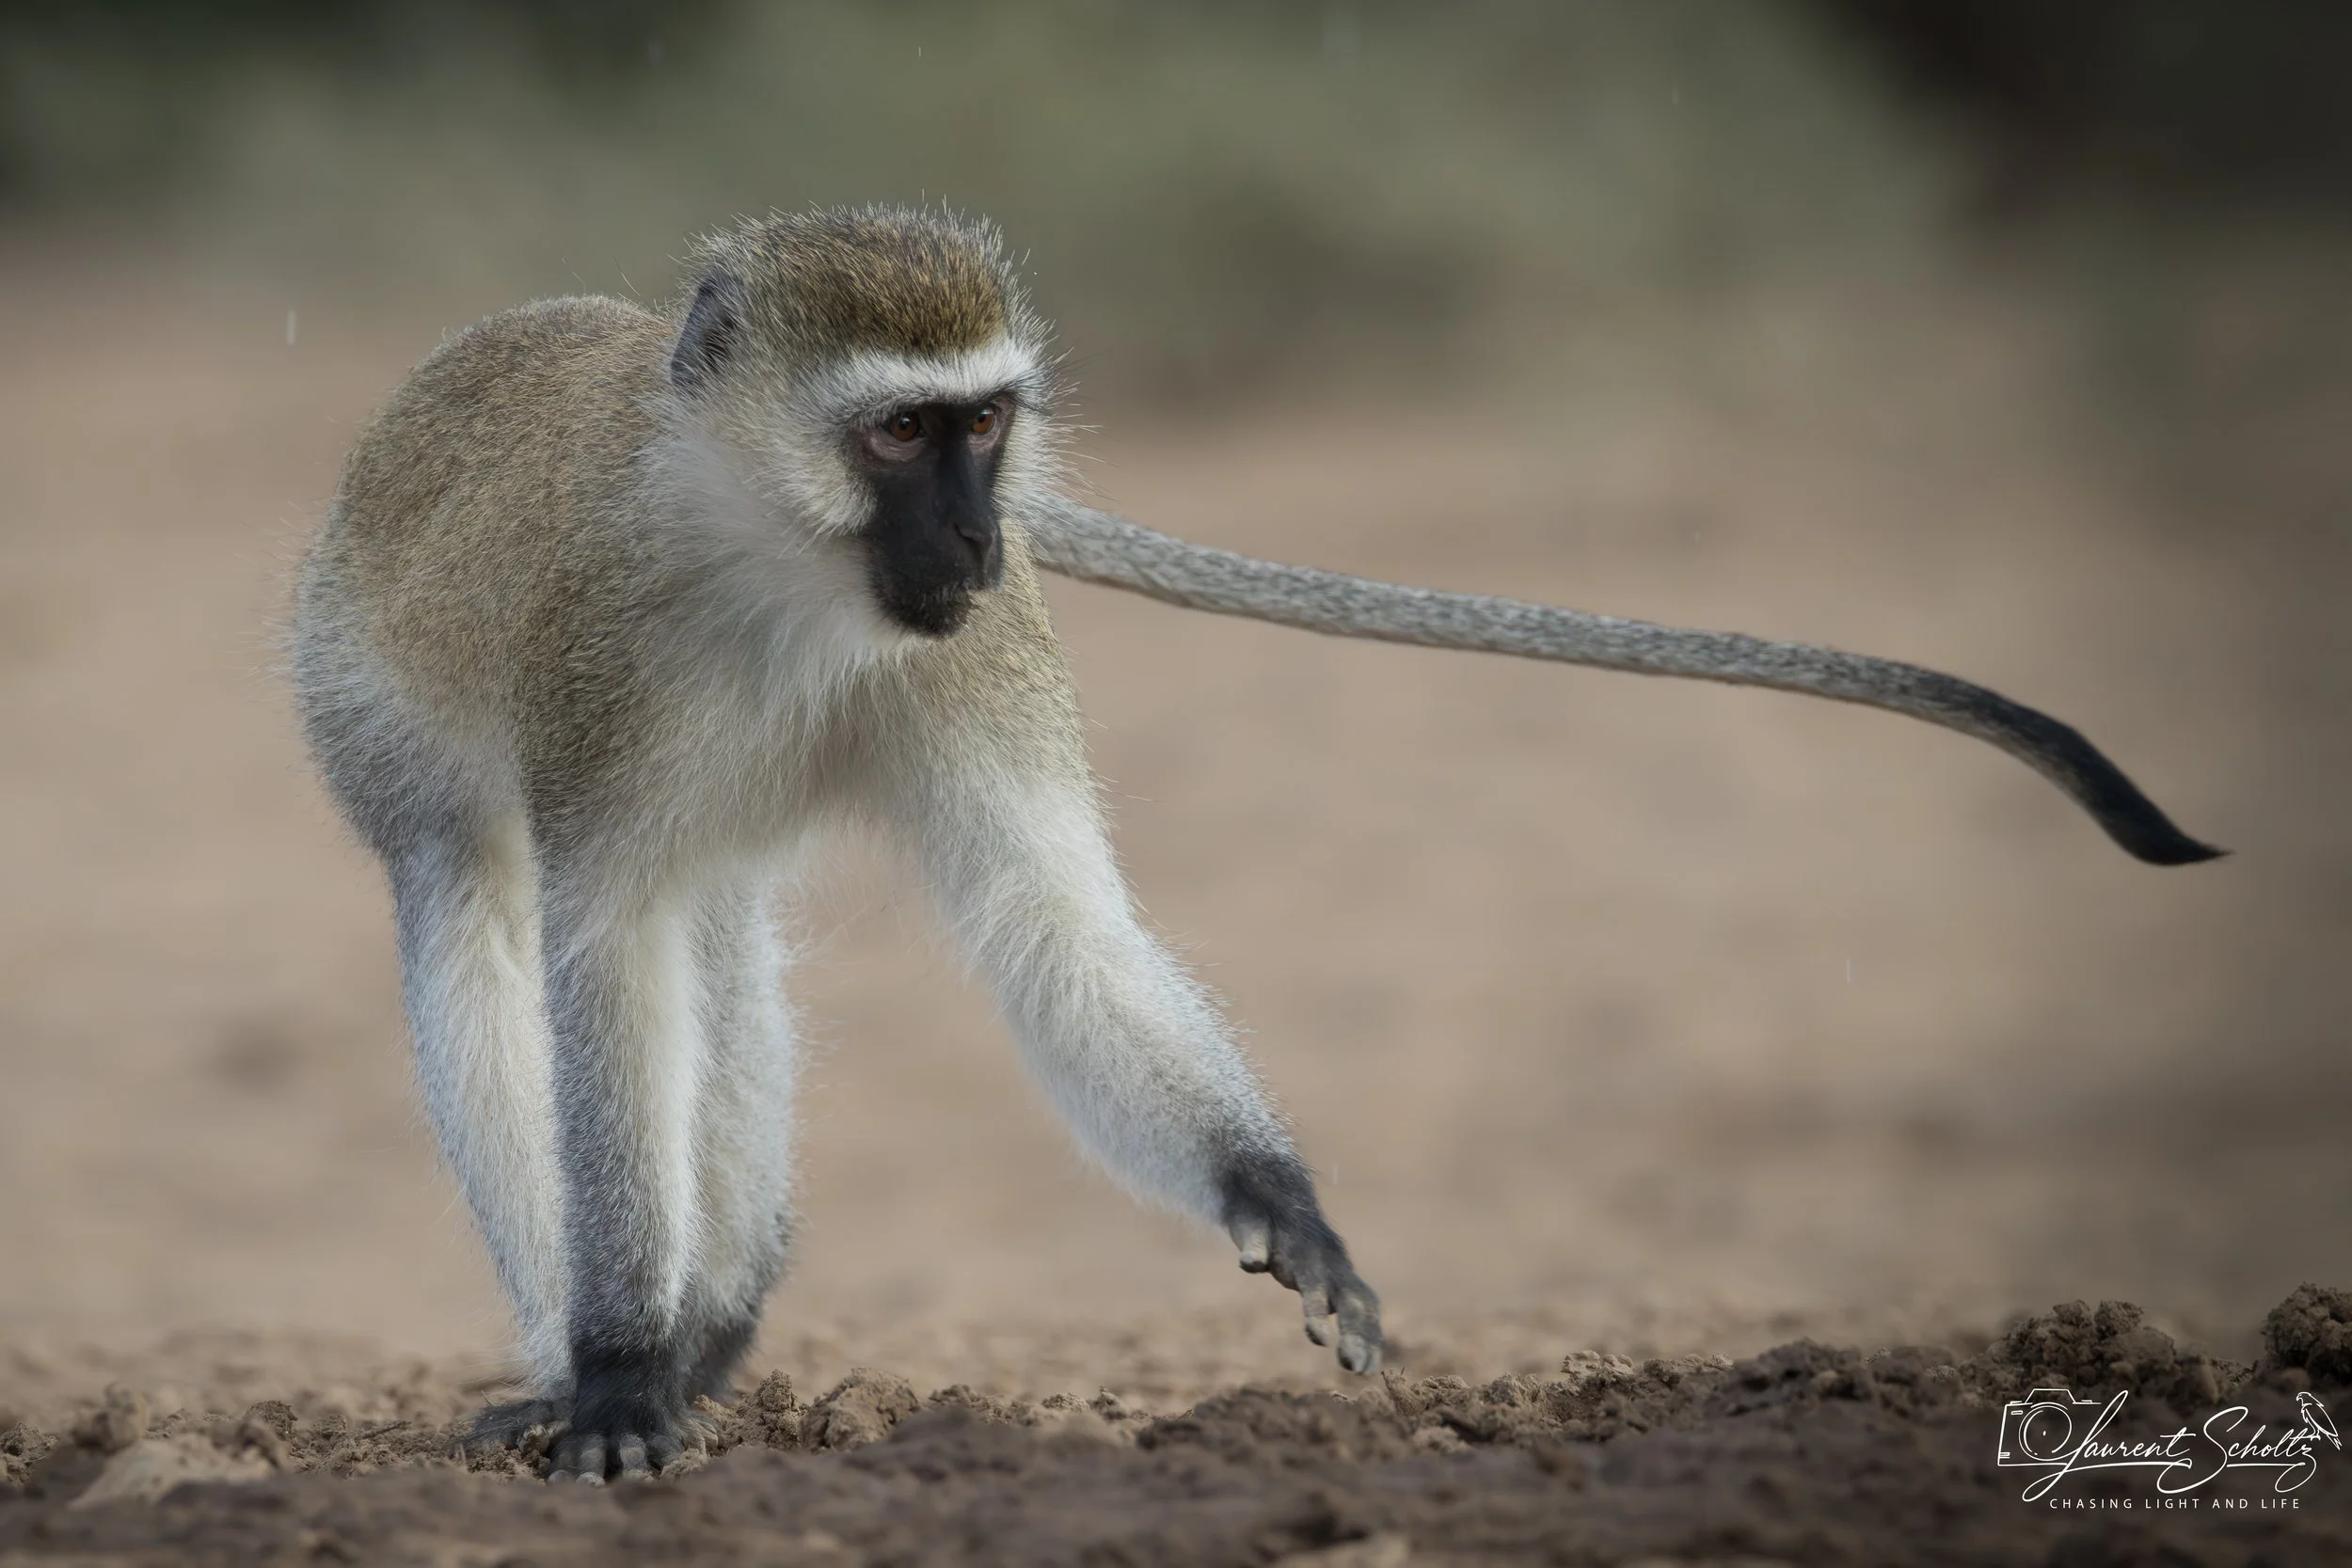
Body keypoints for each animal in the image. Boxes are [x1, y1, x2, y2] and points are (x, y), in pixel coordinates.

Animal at [291, 206, 2217, 1485]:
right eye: (900, 431)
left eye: (984, 423)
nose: (980, 537)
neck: (781, 566)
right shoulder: (607, 671)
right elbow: (601, 949)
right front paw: (613, 1372)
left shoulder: (991, 645)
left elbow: (1049, 915)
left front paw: (1279, 1200)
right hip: (370, 694)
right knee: (481, 905)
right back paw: (627, 1352)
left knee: (712, 941)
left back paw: (712, 1339)